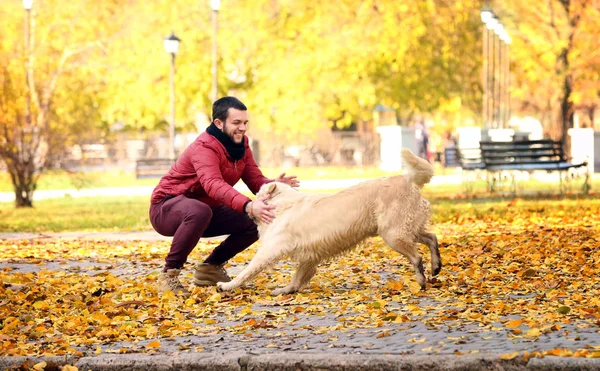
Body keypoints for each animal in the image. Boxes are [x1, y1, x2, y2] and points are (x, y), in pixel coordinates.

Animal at [217, 150, 440, 294]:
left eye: (257, 194)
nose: (249, 209)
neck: (282, 205)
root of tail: (407, 179)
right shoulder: (309, 255)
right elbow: (297, 277)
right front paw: (286, 290)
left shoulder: (270, 250)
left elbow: (247, 271)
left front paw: (226, 286)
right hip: (406, 227)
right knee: (432, 238)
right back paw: (436, 265)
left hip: (393, 234)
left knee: (417, 257)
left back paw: (421, 280)